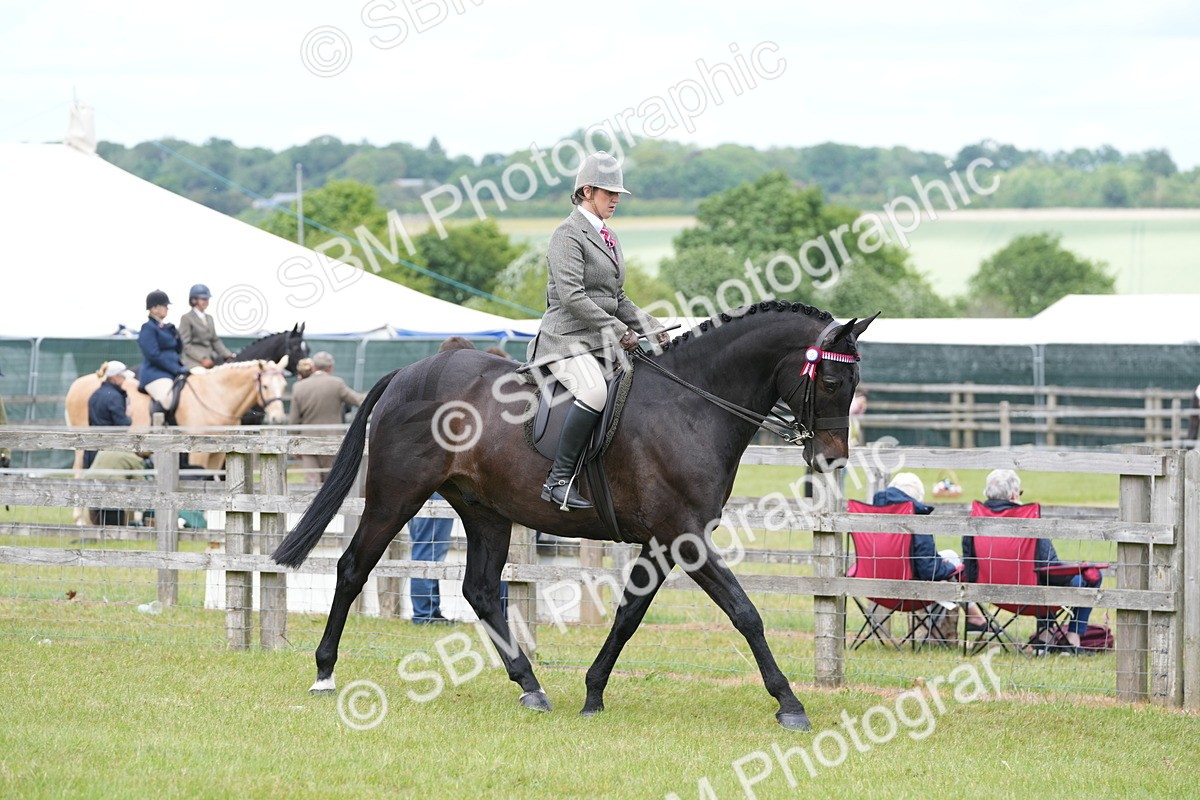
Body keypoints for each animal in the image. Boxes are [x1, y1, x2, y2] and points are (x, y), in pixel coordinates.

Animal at [273, 301, 876, 730]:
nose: (831, 459)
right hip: (396, 495)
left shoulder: (663, 542)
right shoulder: (684, 537)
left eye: (853, 384)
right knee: (353, 567)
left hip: (485, 510)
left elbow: (629, 615)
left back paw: (531, 686)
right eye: (829, 382)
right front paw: (790, 703)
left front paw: (592, 691)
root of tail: (410, 372)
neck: (692, 405)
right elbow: (746, 613)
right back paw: (324, 673)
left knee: (481, 591)